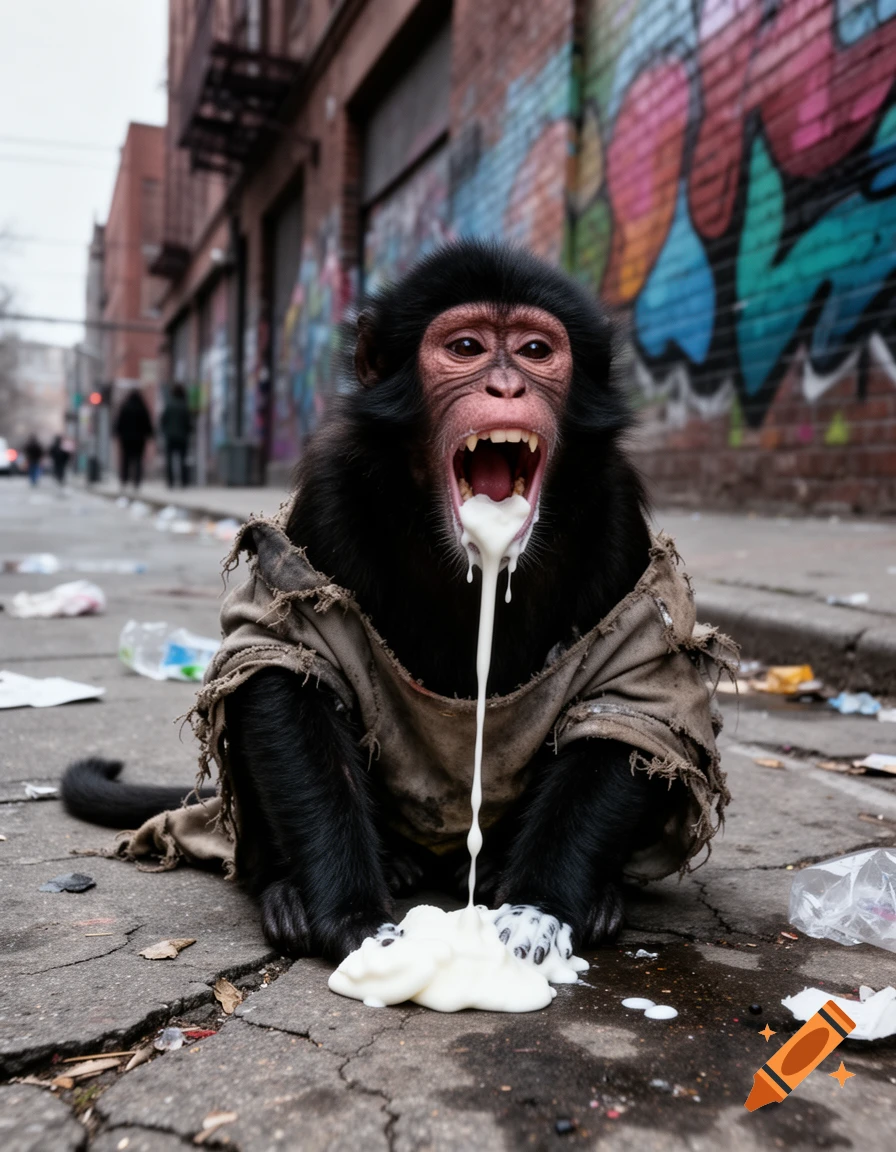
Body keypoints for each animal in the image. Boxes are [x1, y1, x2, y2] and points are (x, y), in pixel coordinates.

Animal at [63, 241, 729, 967]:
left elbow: (633, 702)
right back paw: (305, 884)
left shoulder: (618, 516)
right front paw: (350, 914)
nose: (507, 388)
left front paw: (538, 911)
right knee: (252, 679)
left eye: (535, 350)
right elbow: (288, 664)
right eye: (466, 348)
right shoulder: (329, 495)